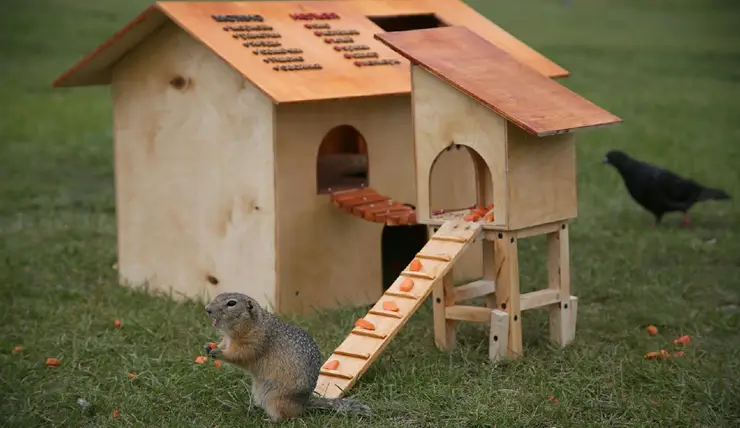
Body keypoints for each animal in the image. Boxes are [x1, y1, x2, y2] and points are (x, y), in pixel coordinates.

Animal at [204, 292, 370, 422]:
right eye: (217, 296)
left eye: (231, 303)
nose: (207, 309)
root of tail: (304, 404)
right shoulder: (228, 340)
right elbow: (223, 345)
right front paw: (209, 346)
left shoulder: (255, 341)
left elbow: (239, 354)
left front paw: (219, 353)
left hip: (276, 398)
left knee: (286, 416)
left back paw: (269, 419)